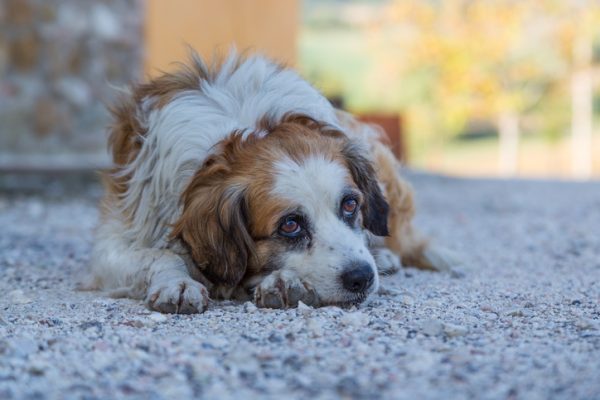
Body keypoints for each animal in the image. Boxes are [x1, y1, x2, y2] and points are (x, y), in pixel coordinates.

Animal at [85, 50, 454, 312]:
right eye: (290, 225)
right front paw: (177, 282)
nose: (362, 278)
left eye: (351, 205)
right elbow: (161, 255)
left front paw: (284, 282)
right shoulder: (116, 240)